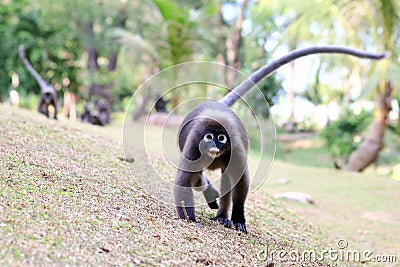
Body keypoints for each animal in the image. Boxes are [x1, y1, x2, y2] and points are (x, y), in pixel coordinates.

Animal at [173, 46, 390, 234]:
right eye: (209, 137)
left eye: (221, 138)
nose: (215, 145)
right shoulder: (194, 143)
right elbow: (183, 180)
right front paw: (188, 217)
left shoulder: (234, 146)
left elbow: (241, 182)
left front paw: (238, 219)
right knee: (198, 177)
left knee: (226, 178)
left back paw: (222, 215)